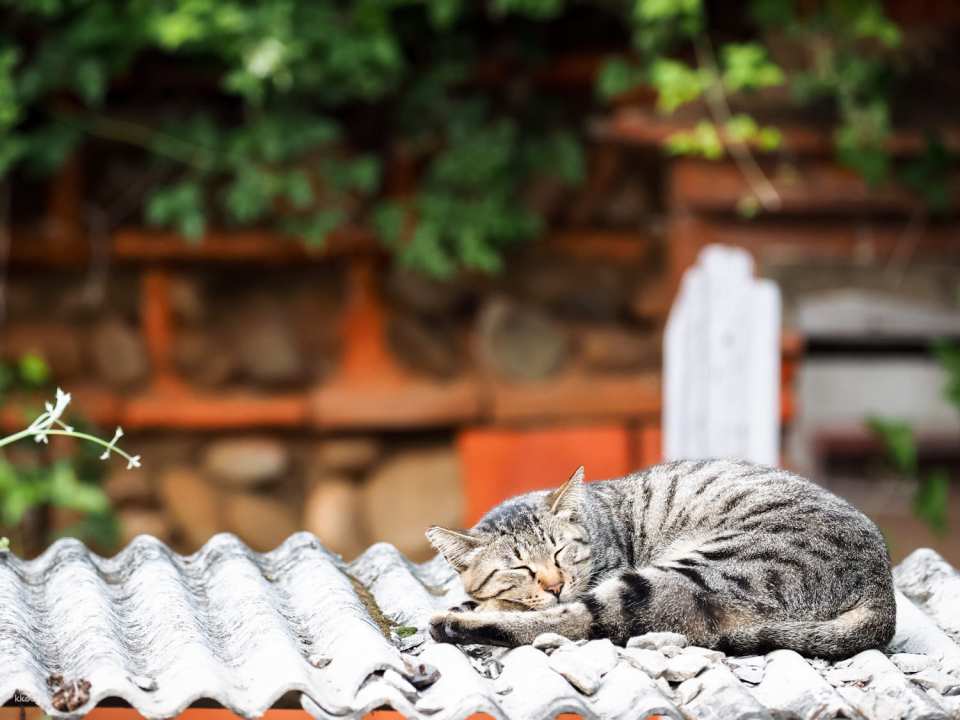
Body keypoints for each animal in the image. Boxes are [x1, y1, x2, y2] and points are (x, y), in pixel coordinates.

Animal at [424, 462, 896, 660]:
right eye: (518, 568)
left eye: (560, 551)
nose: (555, 584)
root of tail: (881, 587)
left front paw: (479, 607)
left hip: (684, 576)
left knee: (576, 622)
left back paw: (454, 624)